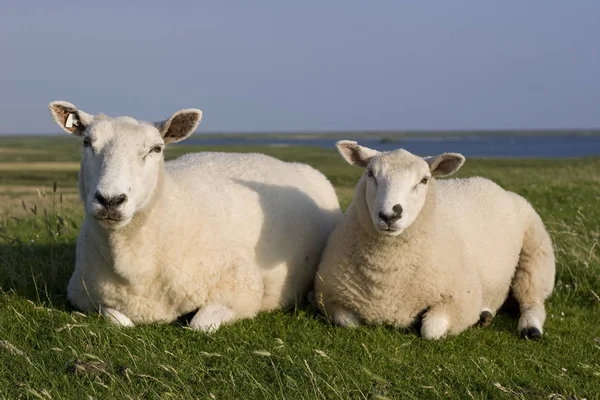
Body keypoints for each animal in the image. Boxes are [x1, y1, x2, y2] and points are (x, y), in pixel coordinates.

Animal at [48, 101, 340, 332]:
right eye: (87, 142)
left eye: (156, 149)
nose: (110, 200)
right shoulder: (83, 295)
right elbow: (118, 321)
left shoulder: (241, 290)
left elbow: (200, 325)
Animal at [316, 139, 556, 340]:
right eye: (370, 174)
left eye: (424, 180)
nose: (389, 215)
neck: (386, 279)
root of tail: (489, 183)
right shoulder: (328, 297)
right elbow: (349, 322)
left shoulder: (461, 300)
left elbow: (431, 330)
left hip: (537, 253)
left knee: (532, 299)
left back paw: (530, 327)